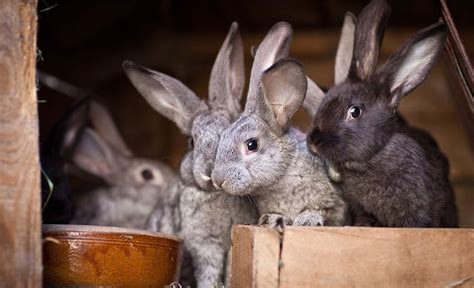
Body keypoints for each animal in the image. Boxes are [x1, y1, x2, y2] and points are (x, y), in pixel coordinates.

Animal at [122, 22, 256, 288]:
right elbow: (209, 272)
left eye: (230, 130)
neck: (216, 194)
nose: (208, 173)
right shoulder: (205, 246)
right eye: (192, 142)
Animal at [211, 21, 348, 231]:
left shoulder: (334, 202)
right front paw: (272, 219)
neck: (283, 175)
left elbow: (322, 210)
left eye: (252, 145)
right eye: (223, 136)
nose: (217, 180)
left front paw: (307, 220)